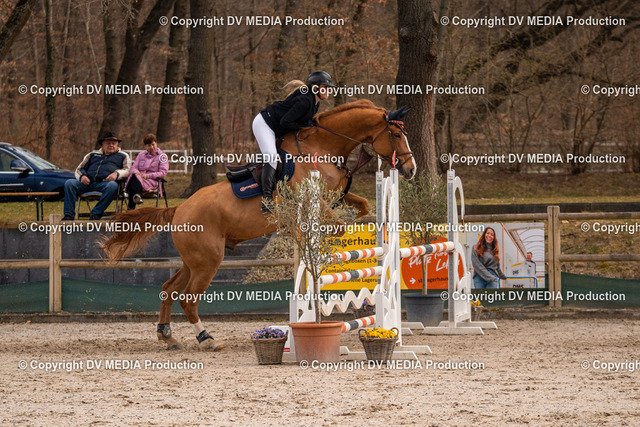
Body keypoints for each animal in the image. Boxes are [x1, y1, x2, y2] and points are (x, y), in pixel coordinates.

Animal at [102, 99, 415, 350]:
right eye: (395, 134)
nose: (411, 170)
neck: (323, 146)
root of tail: (179, 209)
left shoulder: (336, 194)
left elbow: (361, 207)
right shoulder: (309, 197)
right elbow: (336, 226)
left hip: (193, 260)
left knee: (169, 288)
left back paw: (167, 336)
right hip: (208, 260)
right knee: (188, 298)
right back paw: (207, 339)